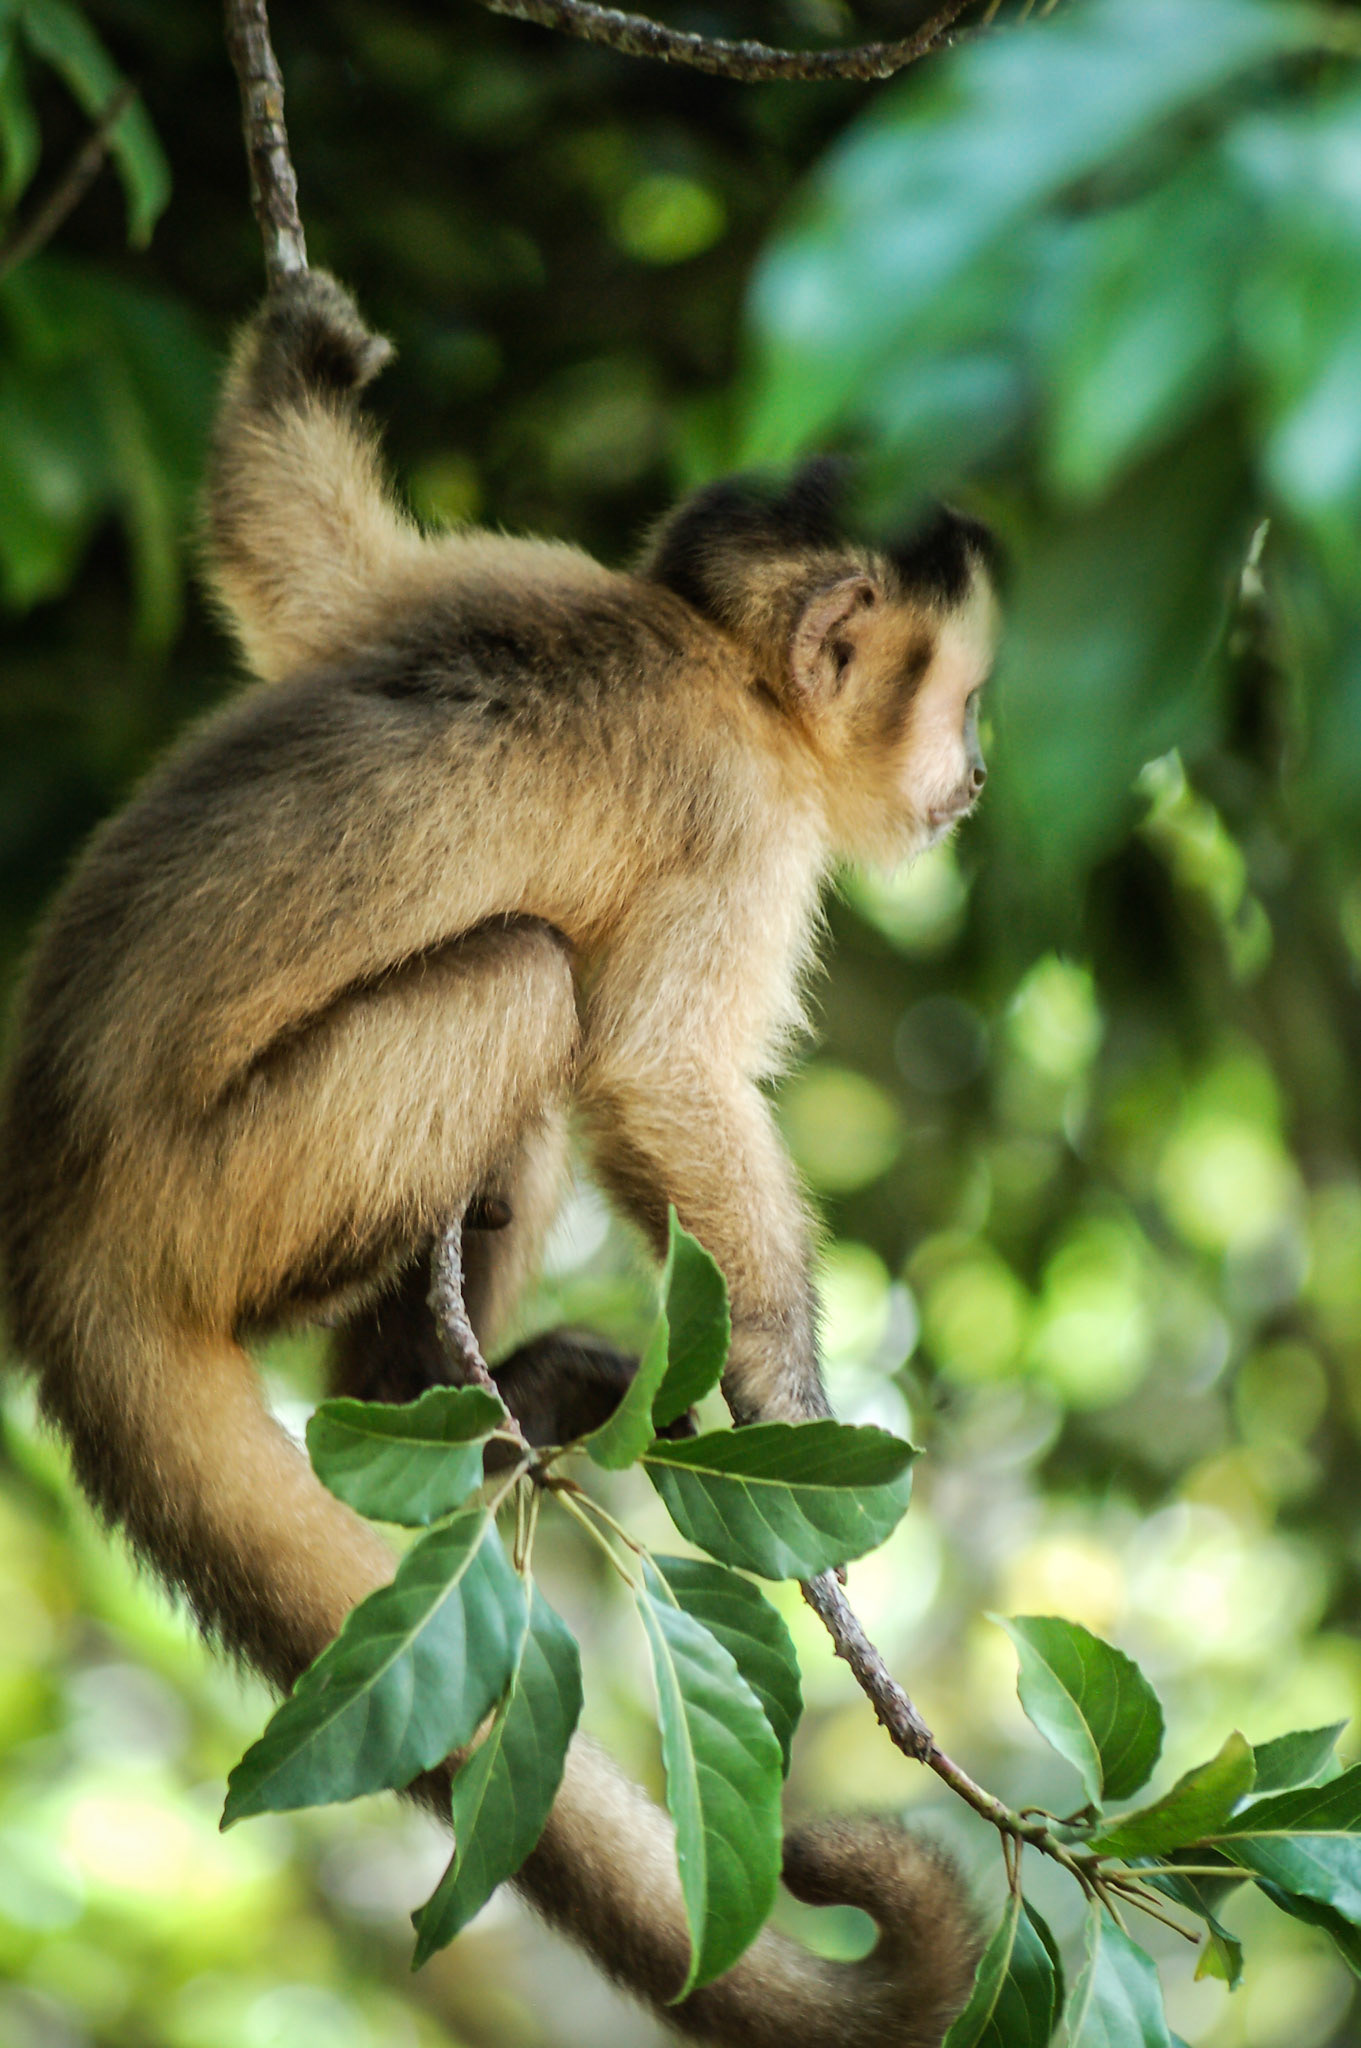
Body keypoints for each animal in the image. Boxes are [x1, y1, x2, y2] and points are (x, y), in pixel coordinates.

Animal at [0, 271, 997, 2047]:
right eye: (962, 702)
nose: (981, 773)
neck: (714, 662)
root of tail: (48, 1226)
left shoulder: (524, 567)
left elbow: (312, 583)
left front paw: (307, 351)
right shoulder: (745, 813)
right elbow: (656, 1073)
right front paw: (786, 1400)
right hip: (215, 1198)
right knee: (530, 981)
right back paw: (428, 1393)